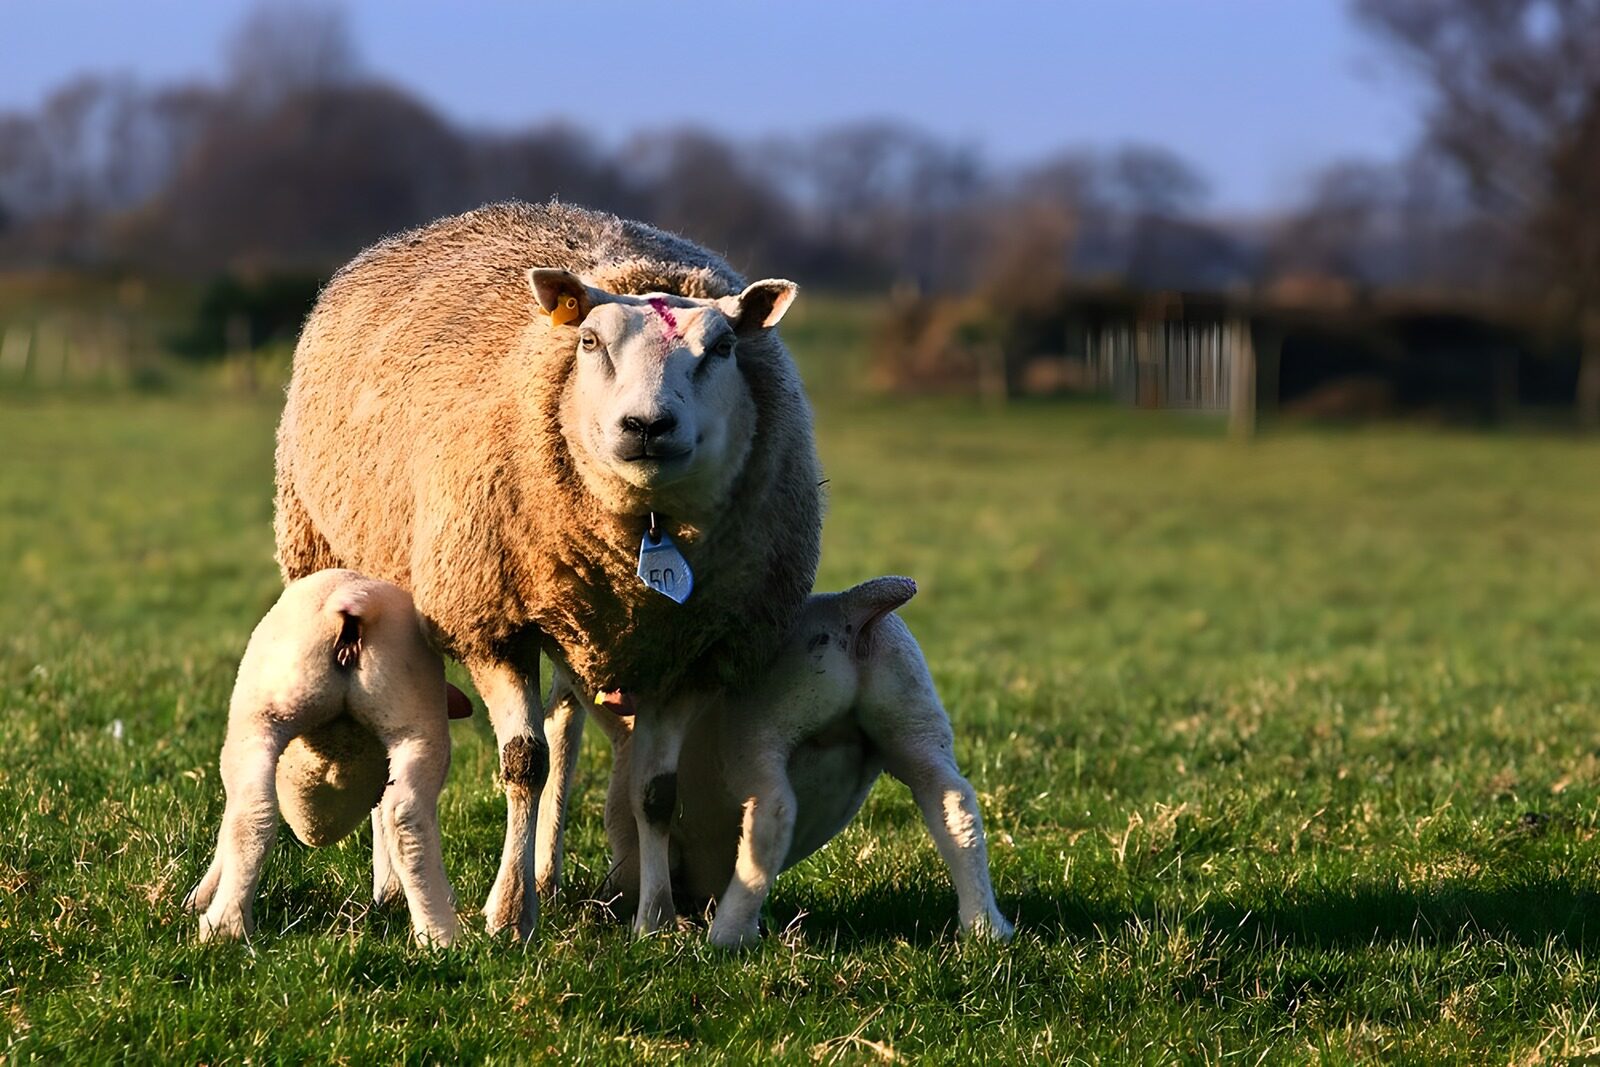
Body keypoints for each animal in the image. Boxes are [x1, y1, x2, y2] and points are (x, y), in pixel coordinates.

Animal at [184, 569, 467, 947]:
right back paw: (438, 934)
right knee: (405, 815)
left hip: (260, 716)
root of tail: (356, 597)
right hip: (415, 722)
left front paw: (200, 897)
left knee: (249, 812)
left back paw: (223, 924)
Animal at [274, 201, 823, 937]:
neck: (646, 536)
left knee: (565, 726)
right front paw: (508, 917)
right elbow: (523, 764)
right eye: (590, 343)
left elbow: (656, 789)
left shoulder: (696, 649)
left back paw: (548, 876)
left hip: (571, 620)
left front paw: (654, 919)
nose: (647, 426)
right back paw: (393, 887)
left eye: (723, 349)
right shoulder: (491, 621)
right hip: (334, 553)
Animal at [564, 576, 1015, 948]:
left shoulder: (633, 850)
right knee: (951, 797)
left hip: (759, 728)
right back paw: (985, 926)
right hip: (914, 720)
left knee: (774, 809)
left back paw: (729, 934)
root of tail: (848, 608)